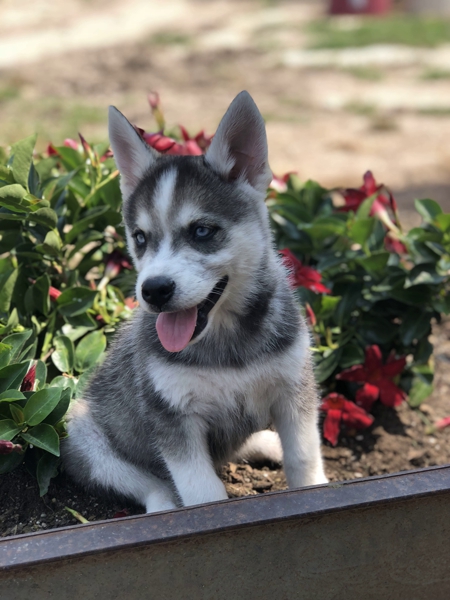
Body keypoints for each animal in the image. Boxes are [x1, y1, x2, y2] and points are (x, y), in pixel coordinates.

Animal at [63, 91, 326, 512]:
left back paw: (268, 442)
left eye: (202, 231)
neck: (225, 344)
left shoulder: (293, 391)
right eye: (140, 237)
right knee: (153, 486)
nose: (153, 290)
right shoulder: (171, 417)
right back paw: (161, 506)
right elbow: (202, 493)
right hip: (83, 432)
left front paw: (315, 490)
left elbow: (303, 457)